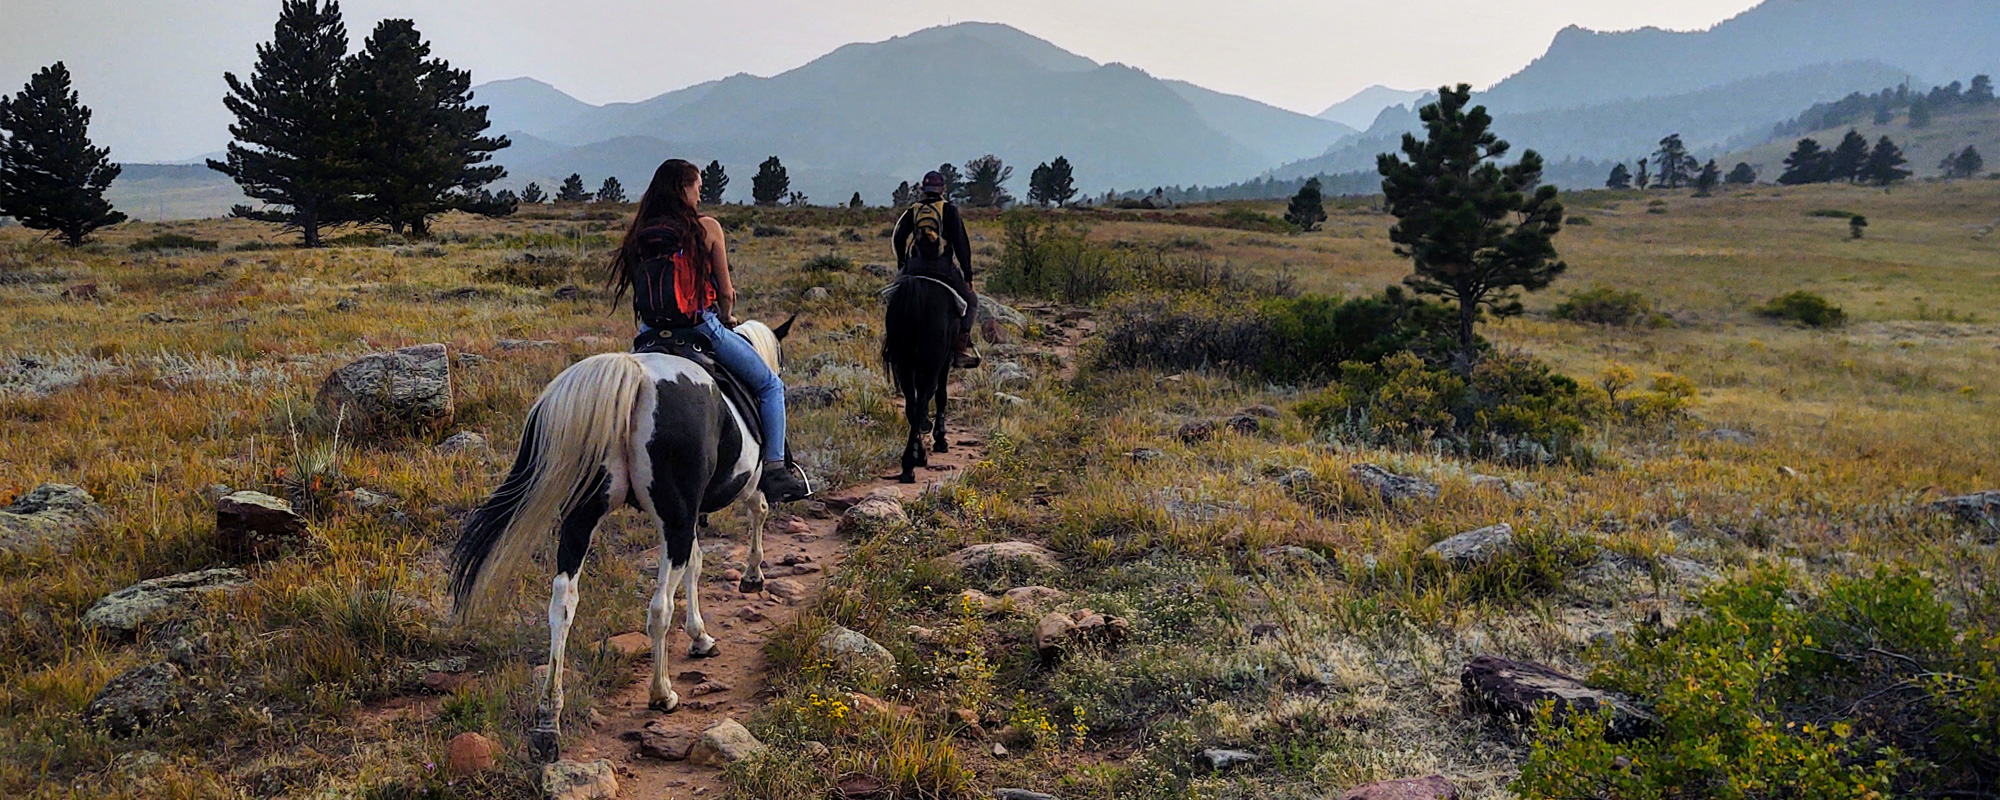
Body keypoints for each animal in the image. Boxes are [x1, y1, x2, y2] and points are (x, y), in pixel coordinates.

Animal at [447, 317, 794, 763]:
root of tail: (633, 376)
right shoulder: (734, 491)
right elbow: (756, 513)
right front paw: (750, 579)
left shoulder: (685, 519)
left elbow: (695, 564)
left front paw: (700, 635)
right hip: (670, 516)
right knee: (659, 607)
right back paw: (662, 694)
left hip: (583, 516)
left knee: (563, 602)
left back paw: (548, 721)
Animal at [882, 276, 962, 483]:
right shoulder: (945, 358)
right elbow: (941, 395)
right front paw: (940, 439)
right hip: (933, 364)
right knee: (924, 399)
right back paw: (910, 464)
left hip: (905, 364)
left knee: (912, 405)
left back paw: (914, 458)